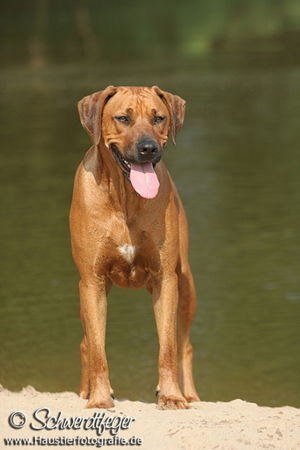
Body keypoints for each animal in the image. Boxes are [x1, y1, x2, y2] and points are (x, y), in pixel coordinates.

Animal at [70, 86, 200, 410]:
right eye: (123, 118)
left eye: (159, 118)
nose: (148, 148)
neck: (124, 195)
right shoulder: (92, 281)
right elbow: (97, 349)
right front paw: (99, 398)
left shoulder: (165, 278)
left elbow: (168, 347)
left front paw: (171, 395)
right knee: (86, 343)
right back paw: (86, 390)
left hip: (186, 283)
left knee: (185, 345)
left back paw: (189, 393)